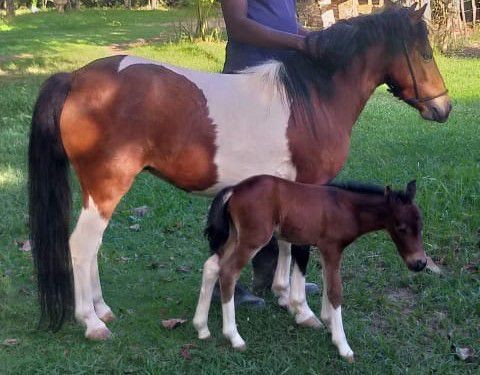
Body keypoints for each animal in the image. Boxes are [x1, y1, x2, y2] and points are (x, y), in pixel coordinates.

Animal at [29, 5, 450, 340]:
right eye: (425, 53)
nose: (443, 108)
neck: (313, 98)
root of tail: (76, 79)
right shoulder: (311, 186)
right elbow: (299, 250)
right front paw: (303, 311)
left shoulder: (289, 190)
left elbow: (285, 244)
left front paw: (283, 295)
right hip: (106, 187)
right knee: (82, 246)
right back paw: (91, 322)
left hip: (97, 192)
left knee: (92, 246)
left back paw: (102, 309)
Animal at [193, 176, 426, 362]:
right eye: (401, 228)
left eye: (421, 225)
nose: (420, 263)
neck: (347, 208)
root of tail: (234, 189)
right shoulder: (332, 248)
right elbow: (335, 291)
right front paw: (343, 345)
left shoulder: (325, 249)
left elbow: (327, 284)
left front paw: (328, 323)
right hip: (253, 239)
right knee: (228, 272)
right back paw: (234, 337)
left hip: (236, 236)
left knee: (212, 266)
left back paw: (202, 328)